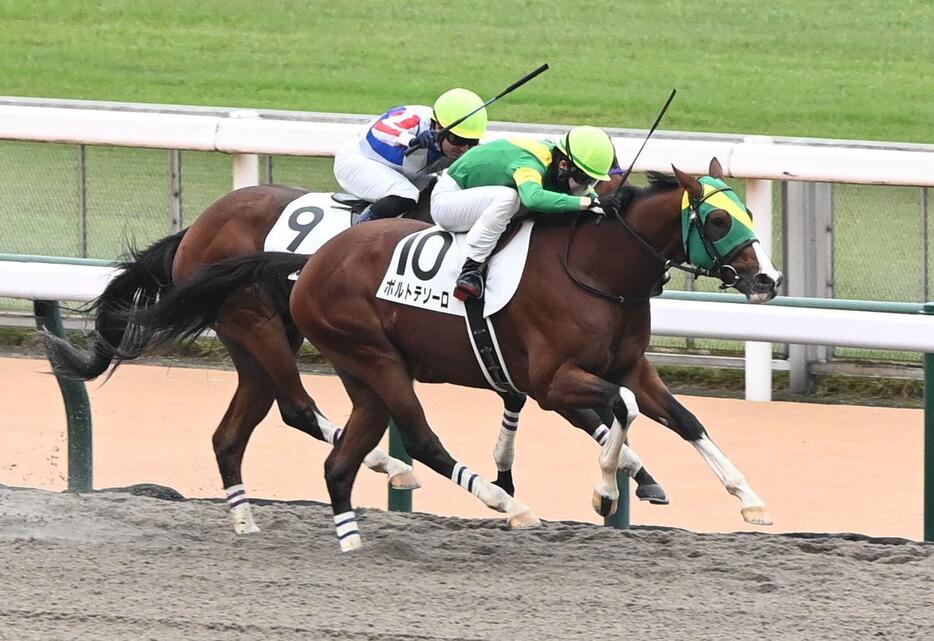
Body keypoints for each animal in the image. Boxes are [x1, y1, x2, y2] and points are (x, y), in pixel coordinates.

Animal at [120, 156, 788, 552]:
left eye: (746, 211)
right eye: (719, 219)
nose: (769, 279)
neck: (596, 270)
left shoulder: (628, 365)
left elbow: (682, 418)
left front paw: (749, 500)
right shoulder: (553, 379)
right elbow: (615, 413)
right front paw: (604, 491)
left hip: (305, 354)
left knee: (249, 433)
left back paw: (264, 521)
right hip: (300, 340)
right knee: (386, 429)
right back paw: (493, 501)